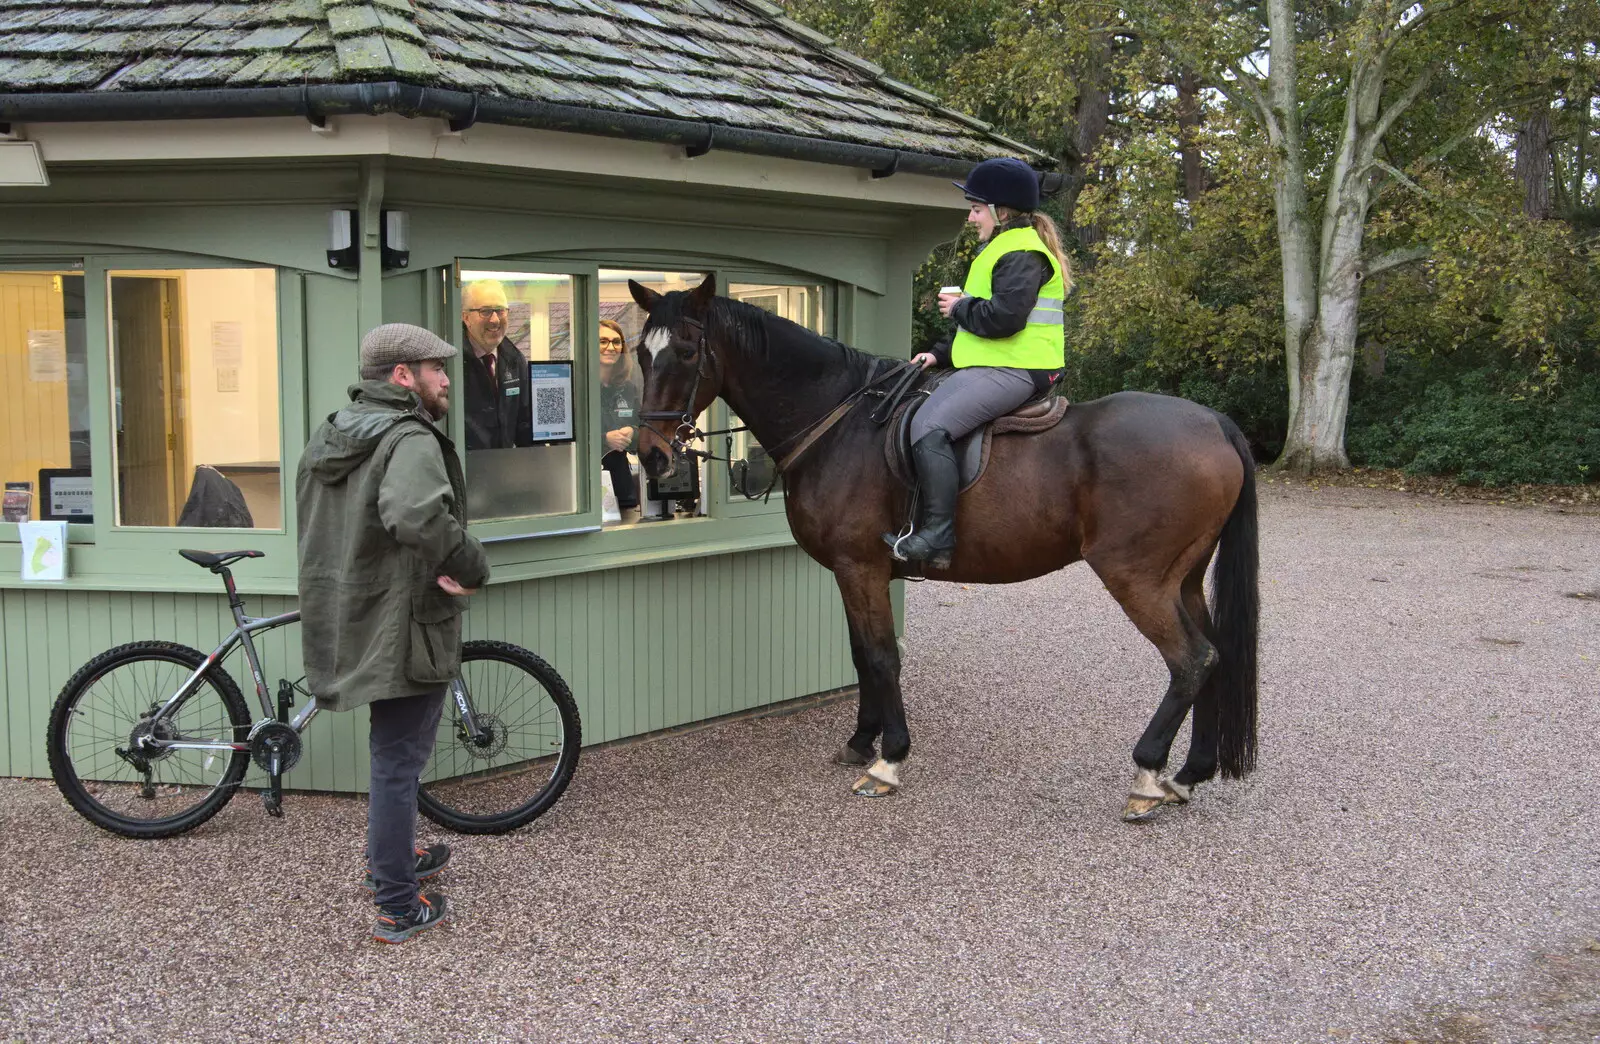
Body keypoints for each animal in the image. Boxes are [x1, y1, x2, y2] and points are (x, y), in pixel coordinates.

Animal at [630, 273, 1254, 819]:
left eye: (685, 351)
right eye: (640, 353)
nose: (651, 455)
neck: (838, 422)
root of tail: (1215, 422)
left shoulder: (859, 568)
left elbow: (883, 656)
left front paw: (889, 759)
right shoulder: (854, 572)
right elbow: (861, 656)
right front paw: (862, 739)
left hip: (1137, 578)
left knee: (1191, 660)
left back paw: (1147, 775)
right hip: (1183, 579)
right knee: (1215, 655)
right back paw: (1189, 774)